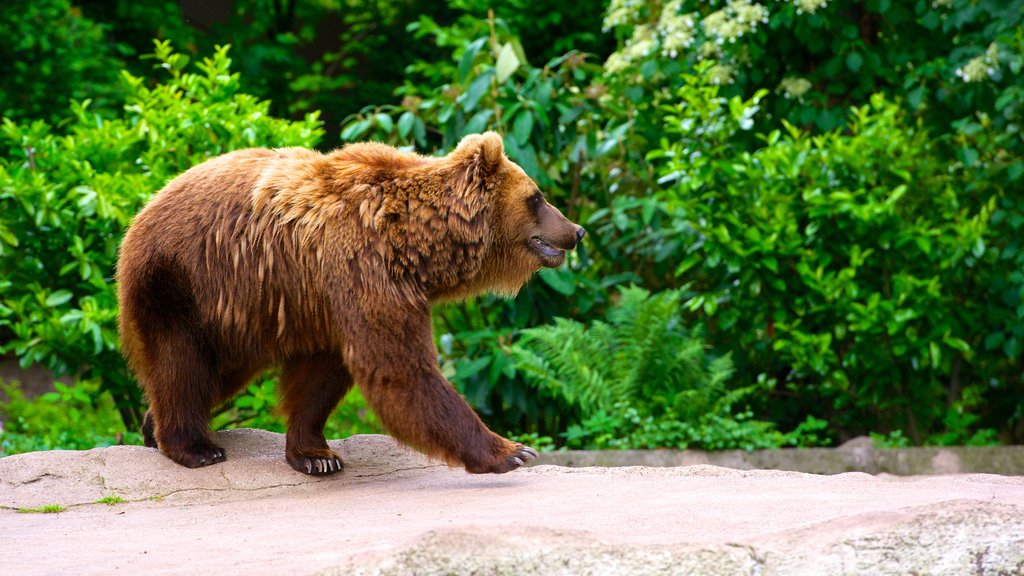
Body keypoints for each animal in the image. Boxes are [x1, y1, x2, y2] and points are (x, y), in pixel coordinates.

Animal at [117, 132, 585, 473]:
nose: (576, 230)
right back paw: (195, 447)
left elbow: (321, 377)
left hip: (238, 316)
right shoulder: (363, 268)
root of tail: (142, 210)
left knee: (214, 374)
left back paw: (151, 427)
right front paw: (512, 450)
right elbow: (403, 371)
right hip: (181, 282)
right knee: (182, 361)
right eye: (537, 197)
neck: (418, 245)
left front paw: (317, 456)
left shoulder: (327, 300)